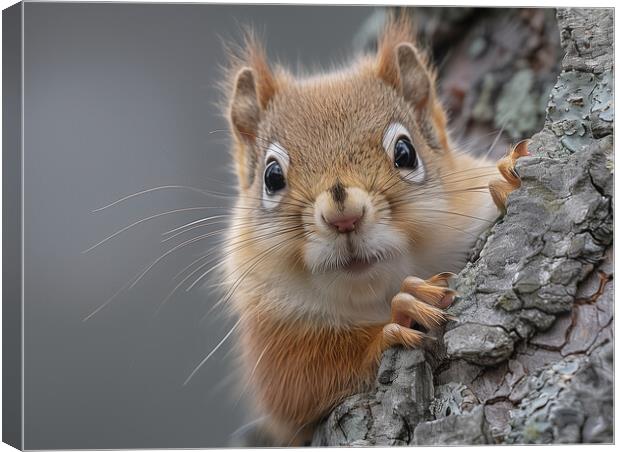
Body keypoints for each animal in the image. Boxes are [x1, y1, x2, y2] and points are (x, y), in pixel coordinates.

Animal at [220, 15, 524, 446]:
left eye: (405, 152)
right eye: (272, 176)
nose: (343, 216)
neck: (373, 290)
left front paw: (504, 182)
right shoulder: (273, 340)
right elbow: (300, 385)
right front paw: (402, 311)